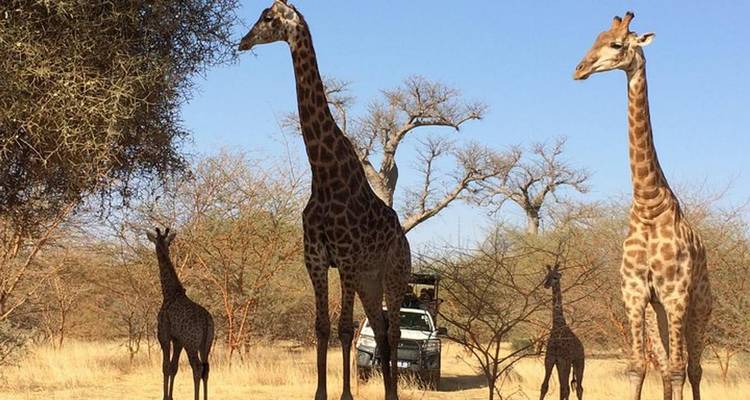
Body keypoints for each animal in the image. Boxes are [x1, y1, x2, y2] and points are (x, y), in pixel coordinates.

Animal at [147, 227, 215, 400]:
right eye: (167, 242)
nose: (160, 248)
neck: (170, 293)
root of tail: (206, 321)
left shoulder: (164, 336)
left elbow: (165, 366)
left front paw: (165, 397)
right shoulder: (178, 340)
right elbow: (174, 367)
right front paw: (170, 396)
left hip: (192, 344)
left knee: (197, 367)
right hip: (206, 344)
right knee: (206, 368)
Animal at [238, 2, 411, 400]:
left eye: (267, 17)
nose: (242, 42)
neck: (324, 174)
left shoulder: (346, 259)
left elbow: (345, 328)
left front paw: (346, 394)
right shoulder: (315, 259)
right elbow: (322, 326)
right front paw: (320, 393)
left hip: (394, 273)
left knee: (394, 330)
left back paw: (393, 393)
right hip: (369, 280)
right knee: (380, 329)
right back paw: (386, 390)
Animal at [539, 264, 585, 400]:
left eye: (555, 277)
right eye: (546, 276)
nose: (546, 285)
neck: (557, 327)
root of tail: (582, 347)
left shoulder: (564, 361)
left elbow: (565, 389)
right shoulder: (551, 359)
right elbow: (544, 386)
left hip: (579, 362)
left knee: (578, 388)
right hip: (563, 365)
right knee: (565, 388)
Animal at [573, 11, 712, 400]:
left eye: (617, 44)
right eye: (594, 38)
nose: (579, 70)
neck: (649, 203)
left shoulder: (676, 294)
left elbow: (680, 368)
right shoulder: (635, 295)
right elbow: (639, 366)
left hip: (699, 307)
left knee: (692, 368)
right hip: (657, 314)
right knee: (666, 366)